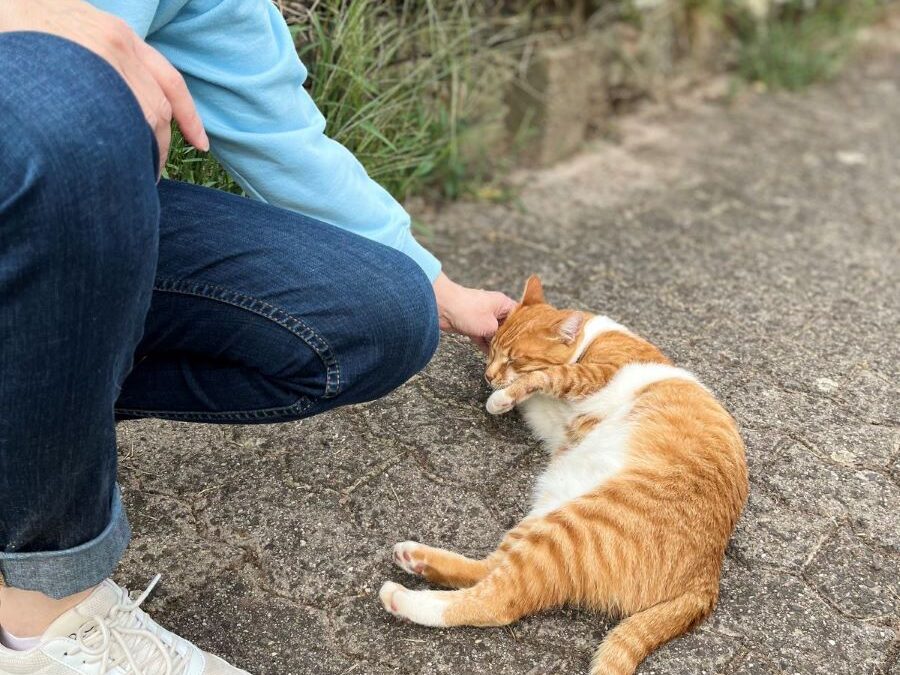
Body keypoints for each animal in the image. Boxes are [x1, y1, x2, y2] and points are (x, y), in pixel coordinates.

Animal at [378, 276, 744, 675]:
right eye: (492, 350)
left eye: (515, 358)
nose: (488, 375)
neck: (590, 338)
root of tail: (707, 577)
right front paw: (503, 394)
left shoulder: (597, 372)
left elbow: (549, 374)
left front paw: (502, 397)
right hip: (549, 512)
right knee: (488, 571)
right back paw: (416, 559)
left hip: (569, 531)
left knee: (497, 601)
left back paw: (402, 598)